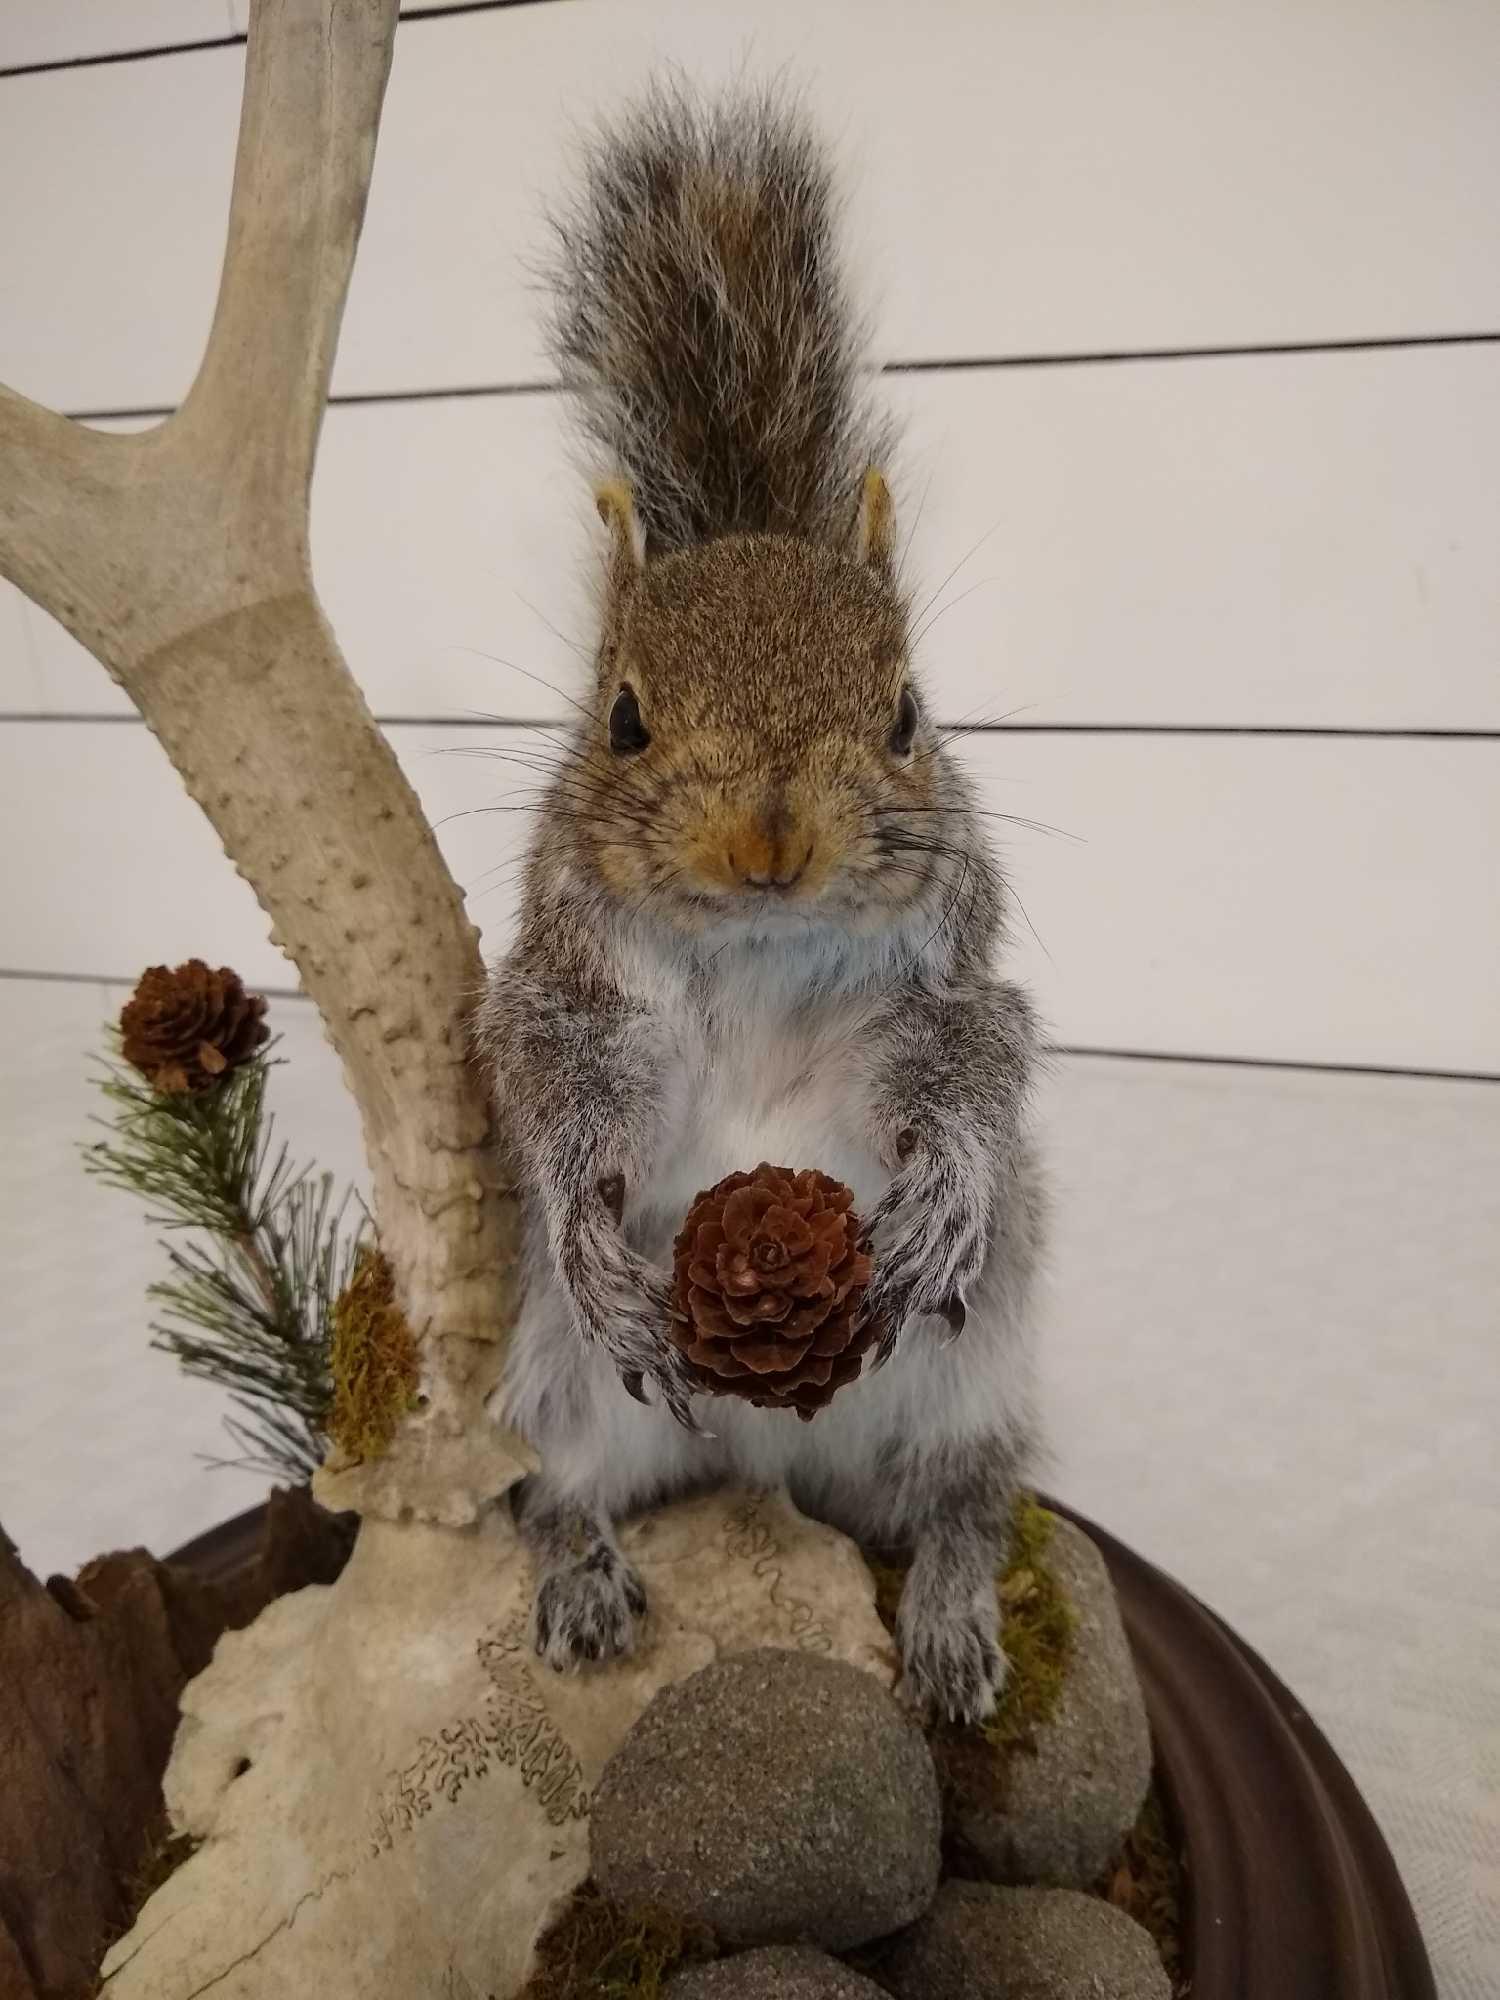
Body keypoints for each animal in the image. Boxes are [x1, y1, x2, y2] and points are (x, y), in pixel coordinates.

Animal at [479, 85, 1045, 1724]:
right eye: (620, 718)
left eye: (909, 711)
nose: (768, 838)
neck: (761, 945)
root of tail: (768, 1457)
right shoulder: (571, 994)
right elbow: (565, 1099)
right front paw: (595, 1235)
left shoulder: (947, 987)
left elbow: (967, 1071)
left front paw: (944, 1194)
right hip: (564, 1390)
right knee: (554, 1487)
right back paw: (583, 1571)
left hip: (965, 1379)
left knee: (971, 1498)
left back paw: (951, 1612)